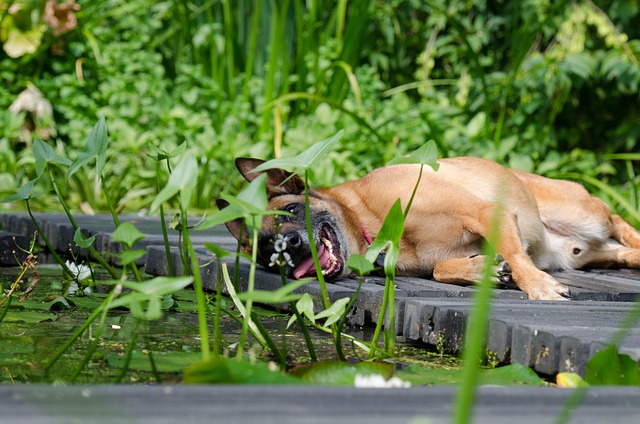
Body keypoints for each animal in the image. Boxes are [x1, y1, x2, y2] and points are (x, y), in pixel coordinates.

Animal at [219, 157, 640, 302]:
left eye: (292, 210)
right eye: (265, 249)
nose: (289, 245)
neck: (373, 223)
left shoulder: (487, 212)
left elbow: (517, 257)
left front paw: (537, 286)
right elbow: (439, 269)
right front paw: (479, 270)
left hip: (585, 214)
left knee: (620, 221)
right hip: (581, 254)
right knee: (618, 252)